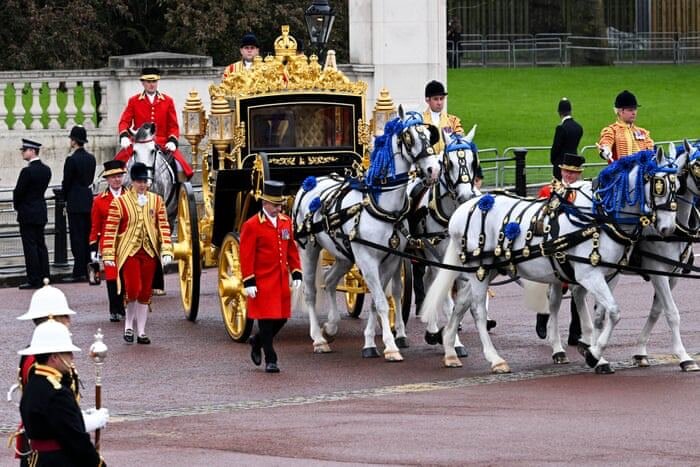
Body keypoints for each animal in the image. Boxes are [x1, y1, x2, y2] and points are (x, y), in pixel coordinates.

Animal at [292, 107, 440, 362]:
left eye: (428, 135)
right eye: (409, 137)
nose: (434, 169)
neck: (384, 208)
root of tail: (311, 181)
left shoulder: (390, 260)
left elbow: (379, 299)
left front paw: (372, 342)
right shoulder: (368, 260)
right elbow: (380, 301)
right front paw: (390, 346)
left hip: (343, 255)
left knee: (330, 281)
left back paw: (331, 327)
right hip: (308, 248)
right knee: (311, 291)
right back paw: (318, 339)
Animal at [422, 148, 680, 374]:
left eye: (676, 185)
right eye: (660, 185)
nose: (668, 229)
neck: (597, 218)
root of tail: (465, 207)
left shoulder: (608, 274)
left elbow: (601, 315)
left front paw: (594, 353)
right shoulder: (589, 275)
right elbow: (614, 312)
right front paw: (593, 354)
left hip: (487, 269)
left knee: (461, 303)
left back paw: (450, 350)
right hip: (481, 269)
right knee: (477, 310)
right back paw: (494, 359)